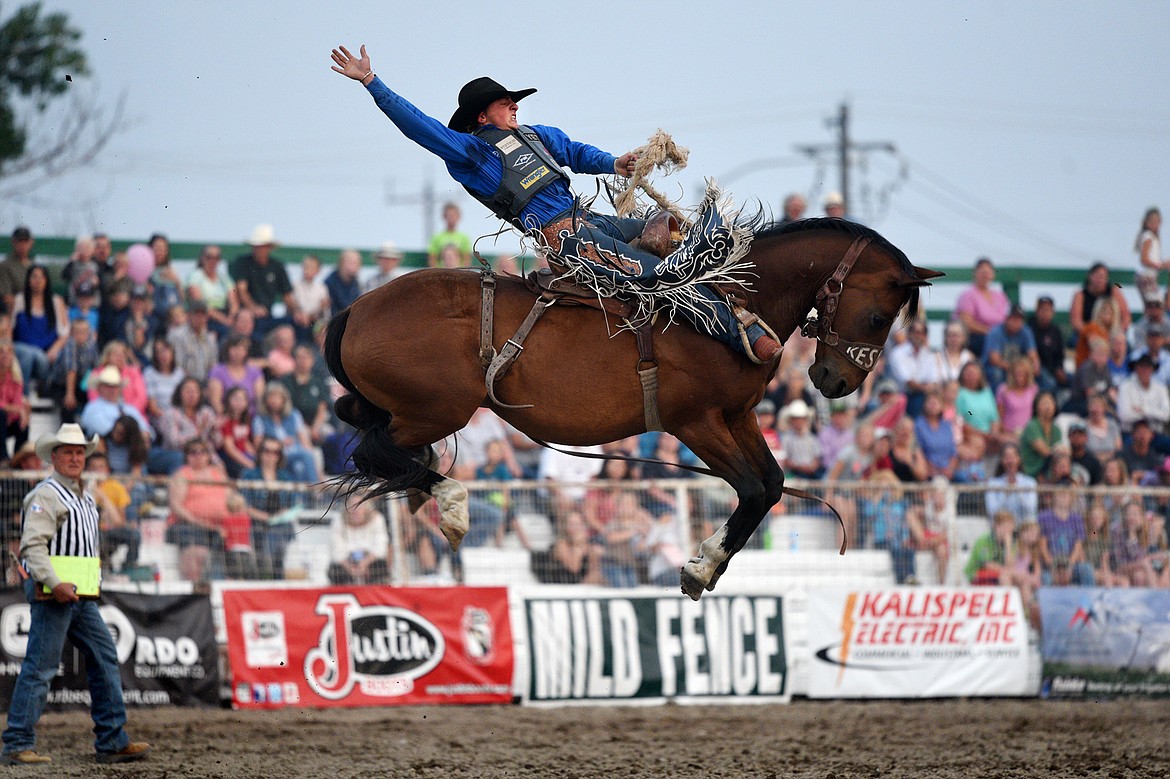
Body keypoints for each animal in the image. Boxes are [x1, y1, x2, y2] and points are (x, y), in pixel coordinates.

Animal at [327, 215, 940, 596]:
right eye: (879, 316)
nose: (837, 380)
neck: (725, 302)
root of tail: (356, 308)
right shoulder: (694, 422)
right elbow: (752, 488)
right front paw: (699, 569)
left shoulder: (738, 416)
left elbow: (770, 482)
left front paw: (705, 565)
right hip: (434, 411)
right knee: (375, 452)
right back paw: (452, 505)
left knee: (361, 430)